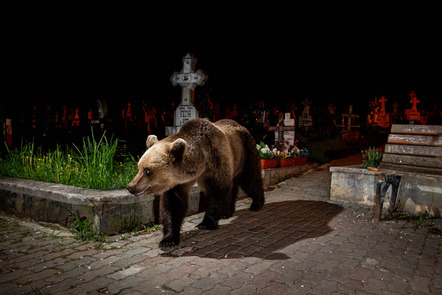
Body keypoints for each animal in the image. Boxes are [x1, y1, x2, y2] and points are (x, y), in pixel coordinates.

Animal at [125, 119, 262, 249]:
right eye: (139, 167)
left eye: (147, 170)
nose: (130, 186)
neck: (201, 162)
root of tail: (241, 126)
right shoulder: (178, 181)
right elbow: (173, 204)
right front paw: (168, 240)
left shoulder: (216, 160)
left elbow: (217, 190)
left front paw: (206, 223)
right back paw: (226, 212)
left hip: (244, 151)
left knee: (250, 177)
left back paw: (256, 204)